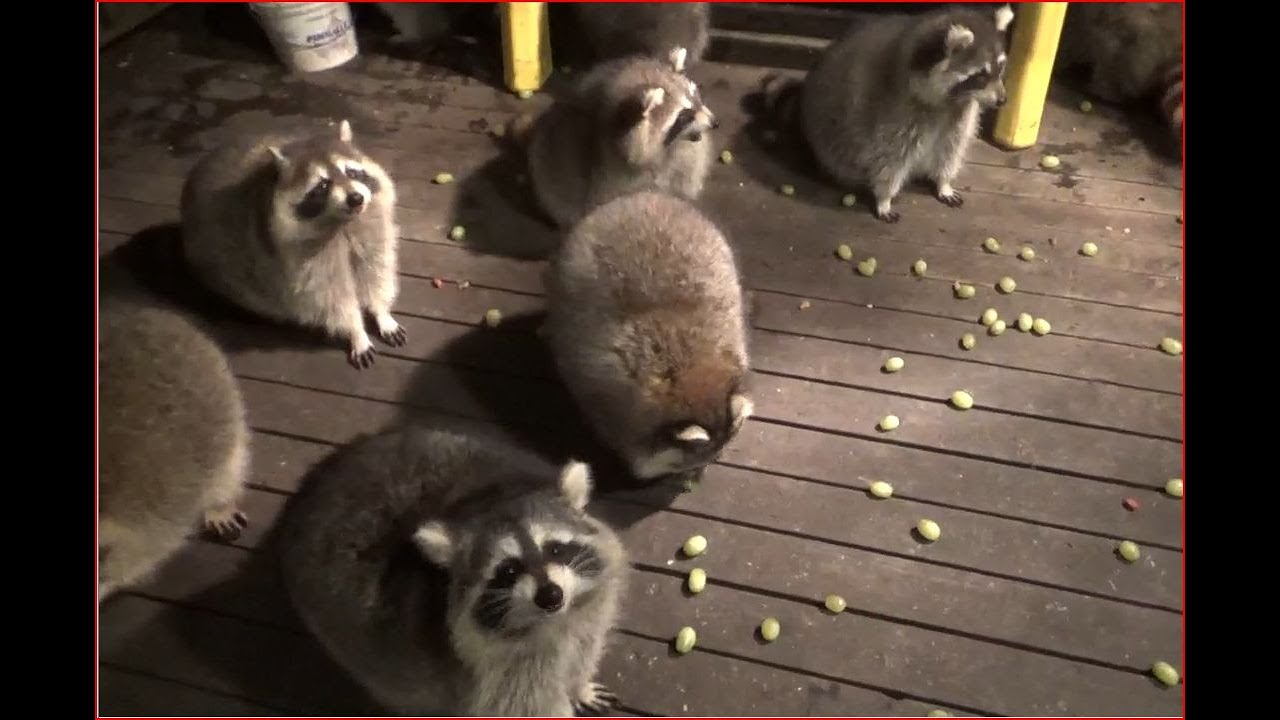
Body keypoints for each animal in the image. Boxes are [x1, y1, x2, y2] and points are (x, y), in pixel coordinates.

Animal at [181, 120, 405, 369]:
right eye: (323, 186)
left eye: (352, 172)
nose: (355, 199)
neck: (343, 223)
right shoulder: (301, 256)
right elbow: (332, 297)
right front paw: (356, 331)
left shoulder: (371, 229)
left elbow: (374, 272)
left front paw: (381, 312)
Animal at [277, 424, 628, 716]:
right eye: (508, 570)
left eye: (554, 549)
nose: (550, 595)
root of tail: (315, 479)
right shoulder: (496, 674)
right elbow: (530, 706)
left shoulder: (585, 617)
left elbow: (584, 650)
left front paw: (578, 683)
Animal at [800, 4, 1016, 223]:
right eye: (980, 76)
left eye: (1001, 67)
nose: (1003, 100)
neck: (947, 101)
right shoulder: (894, 111)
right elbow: (888, 158)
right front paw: (884, 198)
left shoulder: (959, 114)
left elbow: (950, 149)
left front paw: (944, 182)